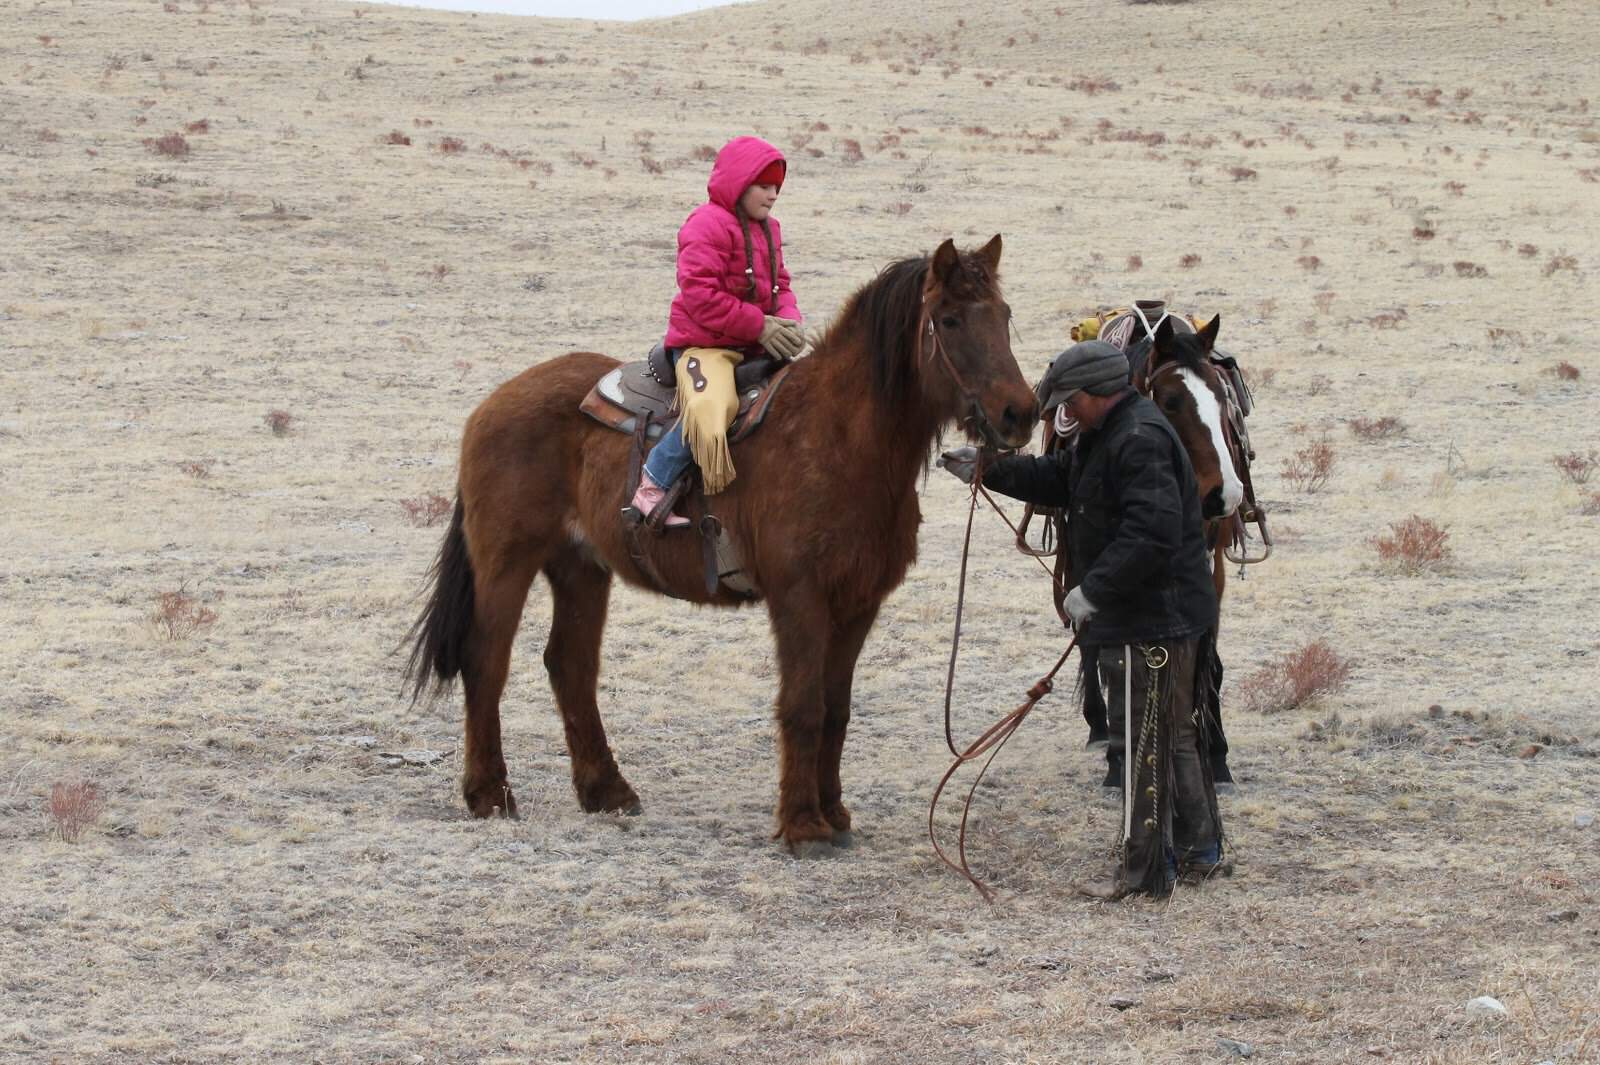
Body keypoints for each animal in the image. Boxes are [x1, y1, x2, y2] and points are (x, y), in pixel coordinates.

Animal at [404, 236, 1038, 852]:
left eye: (1005, 314)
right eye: (950, 320)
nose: (1021, 413)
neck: (837, 440)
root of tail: (493, 404)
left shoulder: (859, 602)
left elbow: (836, 708)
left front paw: (833, 813)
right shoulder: (799, 598)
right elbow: (803, 705)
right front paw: (803, 825)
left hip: (581, 568)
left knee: (571, 666)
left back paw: (607, 790)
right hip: (506, 562)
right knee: (486, 661)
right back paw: (489, 794)